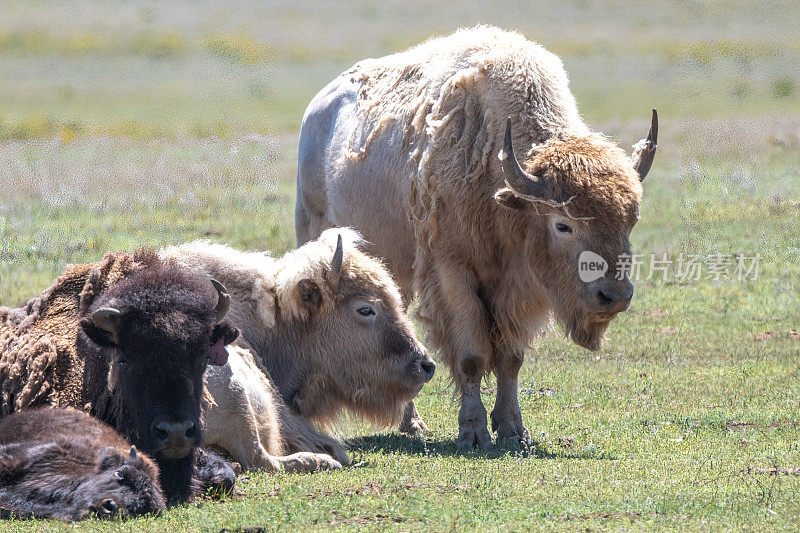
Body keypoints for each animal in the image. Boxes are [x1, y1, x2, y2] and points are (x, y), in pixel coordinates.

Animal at [296, 26, 660, 448]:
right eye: (563, 224)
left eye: (630, 220)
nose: (614, 296)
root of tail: (318, 107)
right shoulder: (452, 271)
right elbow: (471, 355)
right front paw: (472, 432)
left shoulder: (517, 284)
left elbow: (510, 358)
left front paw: (514, 430)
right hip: (316, 230)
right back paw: (410, 424)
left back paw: (413, 424)